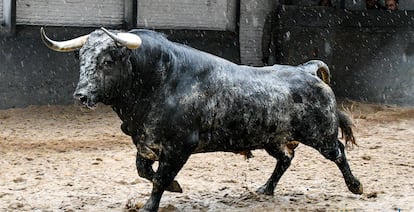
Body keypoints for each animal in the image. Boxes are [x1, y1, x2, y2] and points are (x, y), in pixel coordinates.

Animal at [39, 27, 362, 211]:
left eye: (107, 60)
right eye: (82, 58)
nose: (81, 96)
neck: (159, 81)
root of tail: (306, 70)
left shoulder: (179, 147)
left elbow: (159, 178)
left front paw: (151, 203)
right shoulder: (146, 143)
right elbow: (144, 170)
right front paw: (175, 187)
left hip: (320, 135)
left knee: (338, 153)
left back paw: (356, 186)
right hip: (270, 138)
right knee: (285, 158)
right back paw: (266, 189)